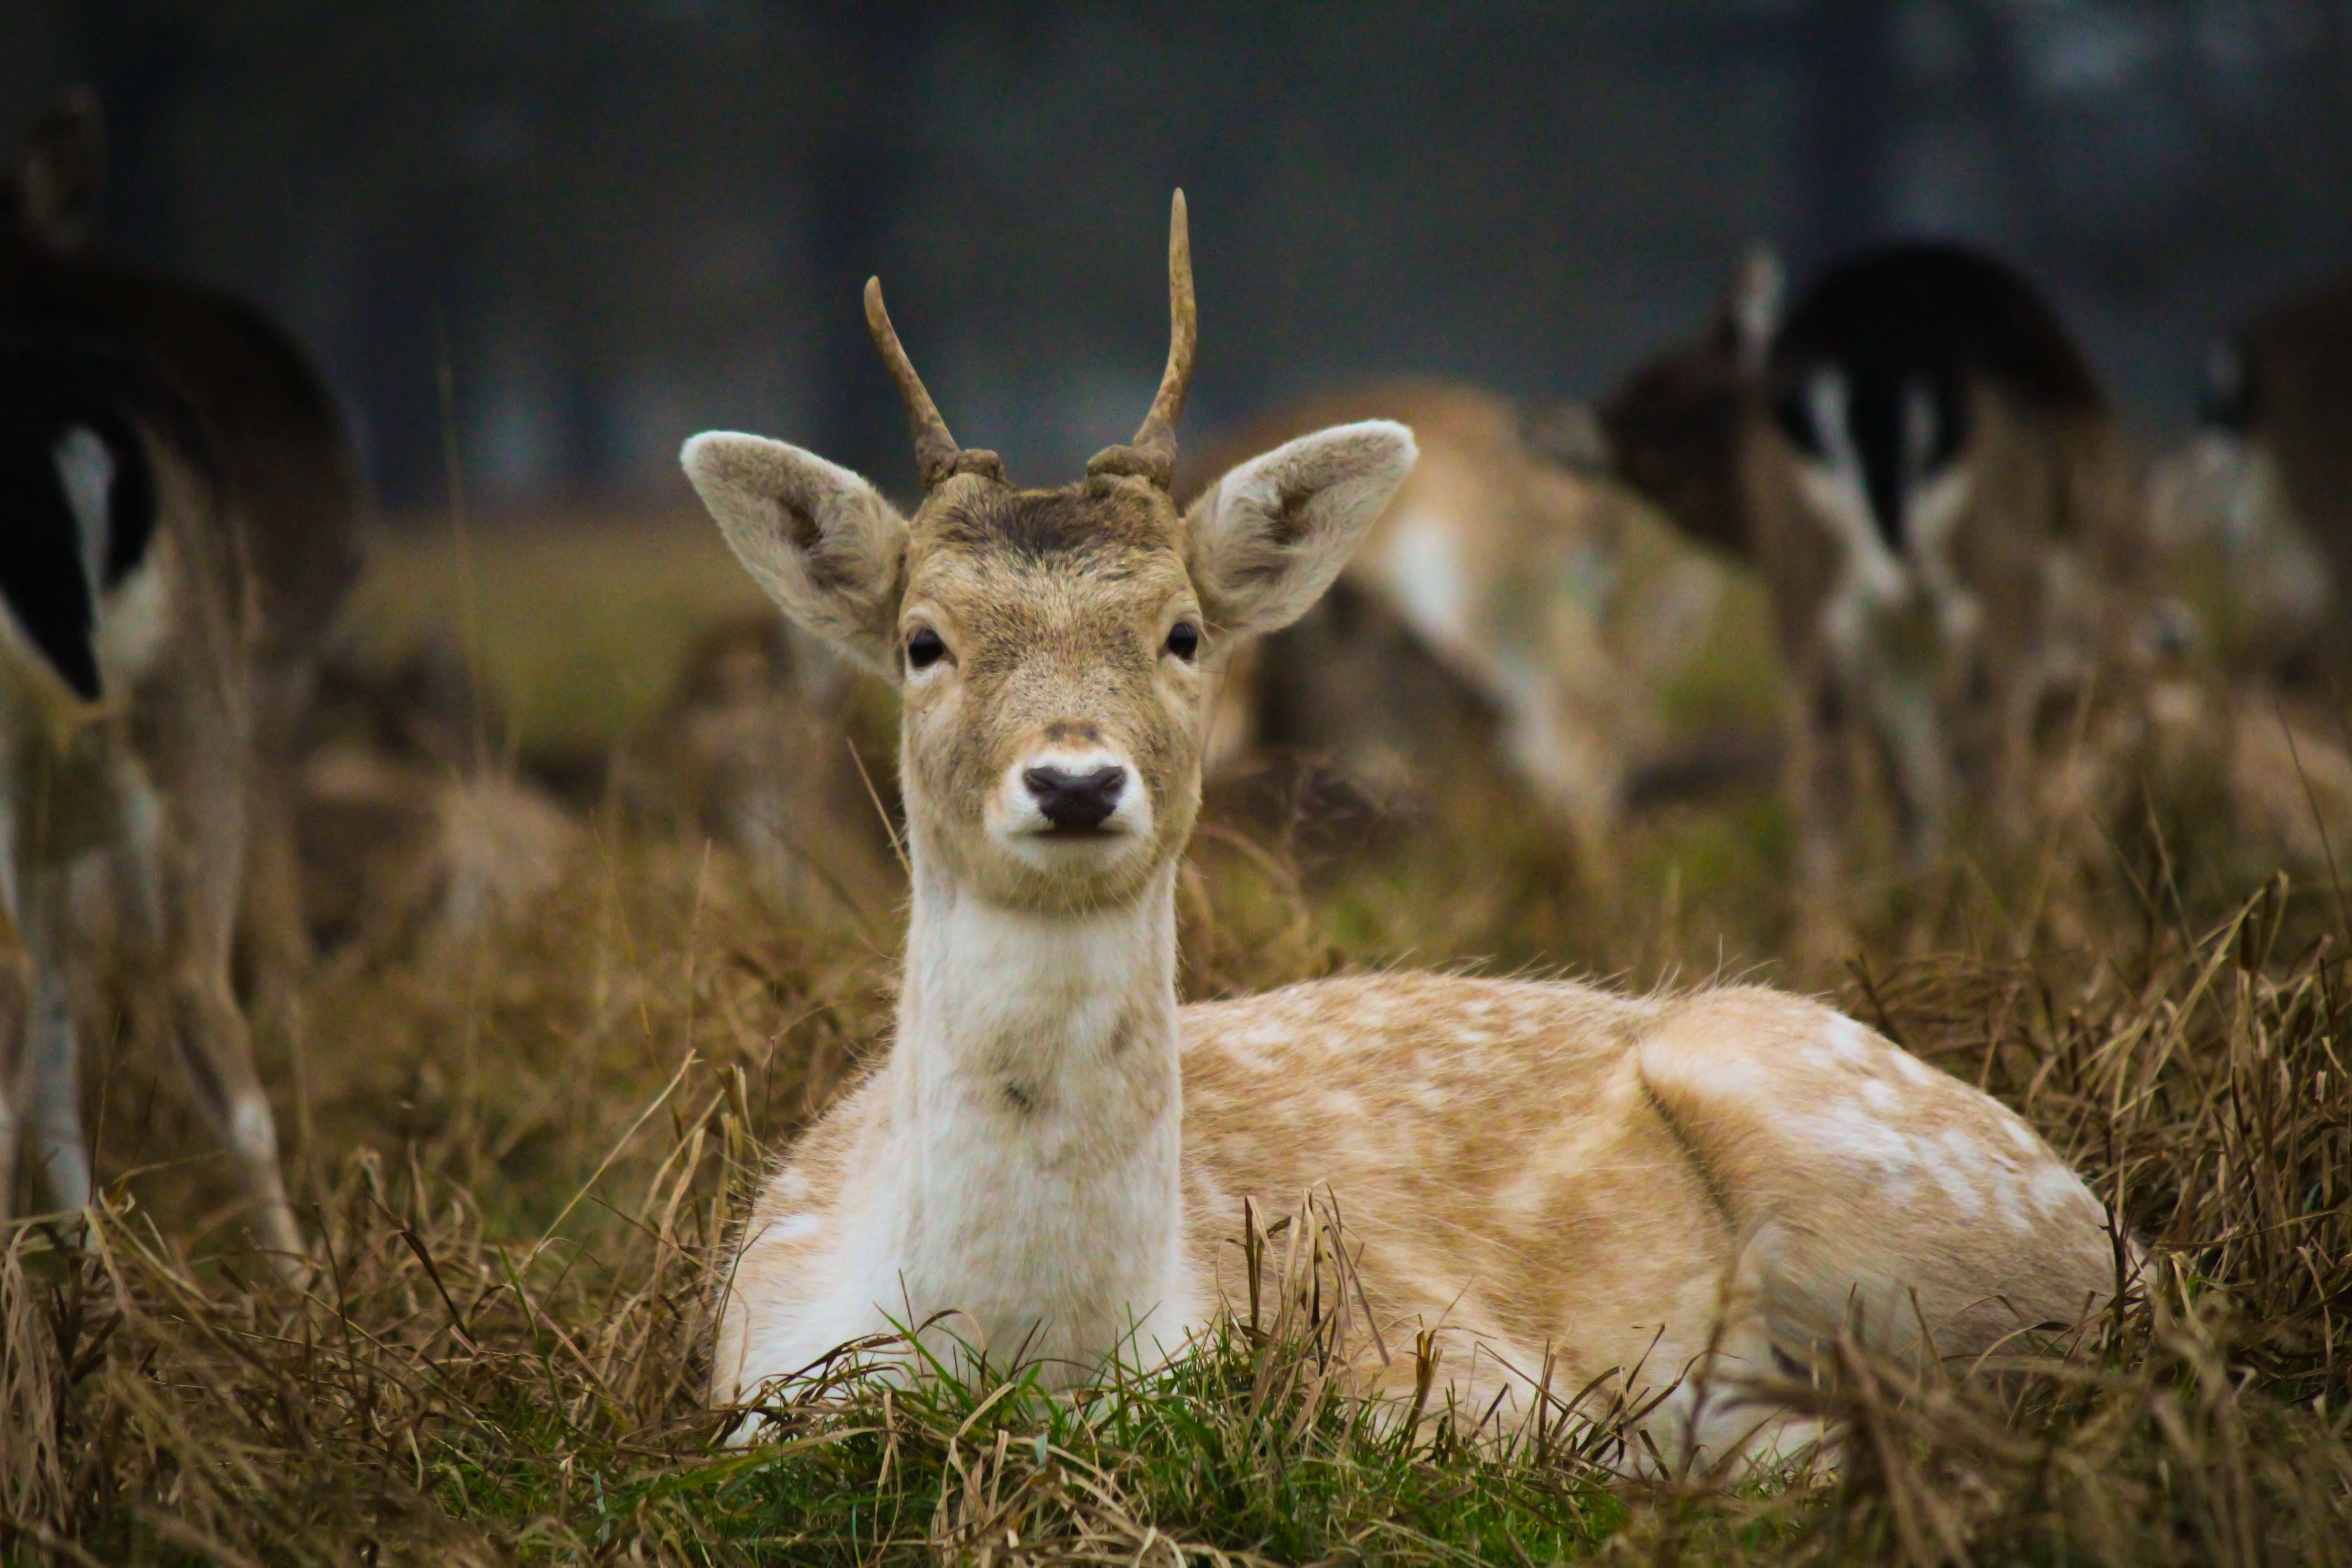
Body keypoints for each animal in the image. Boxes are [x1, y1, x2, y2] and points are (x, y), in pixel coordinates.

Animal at [1601, 241, 2146, 957]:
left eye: (1664, 382)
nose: (1583, 422)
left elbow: (1904, 774)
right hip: (1998, 566)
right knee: (1987, 741)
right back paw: (2026, 914)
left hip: (1817, 590)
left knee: (1831, 758)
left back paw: (1835, 944)